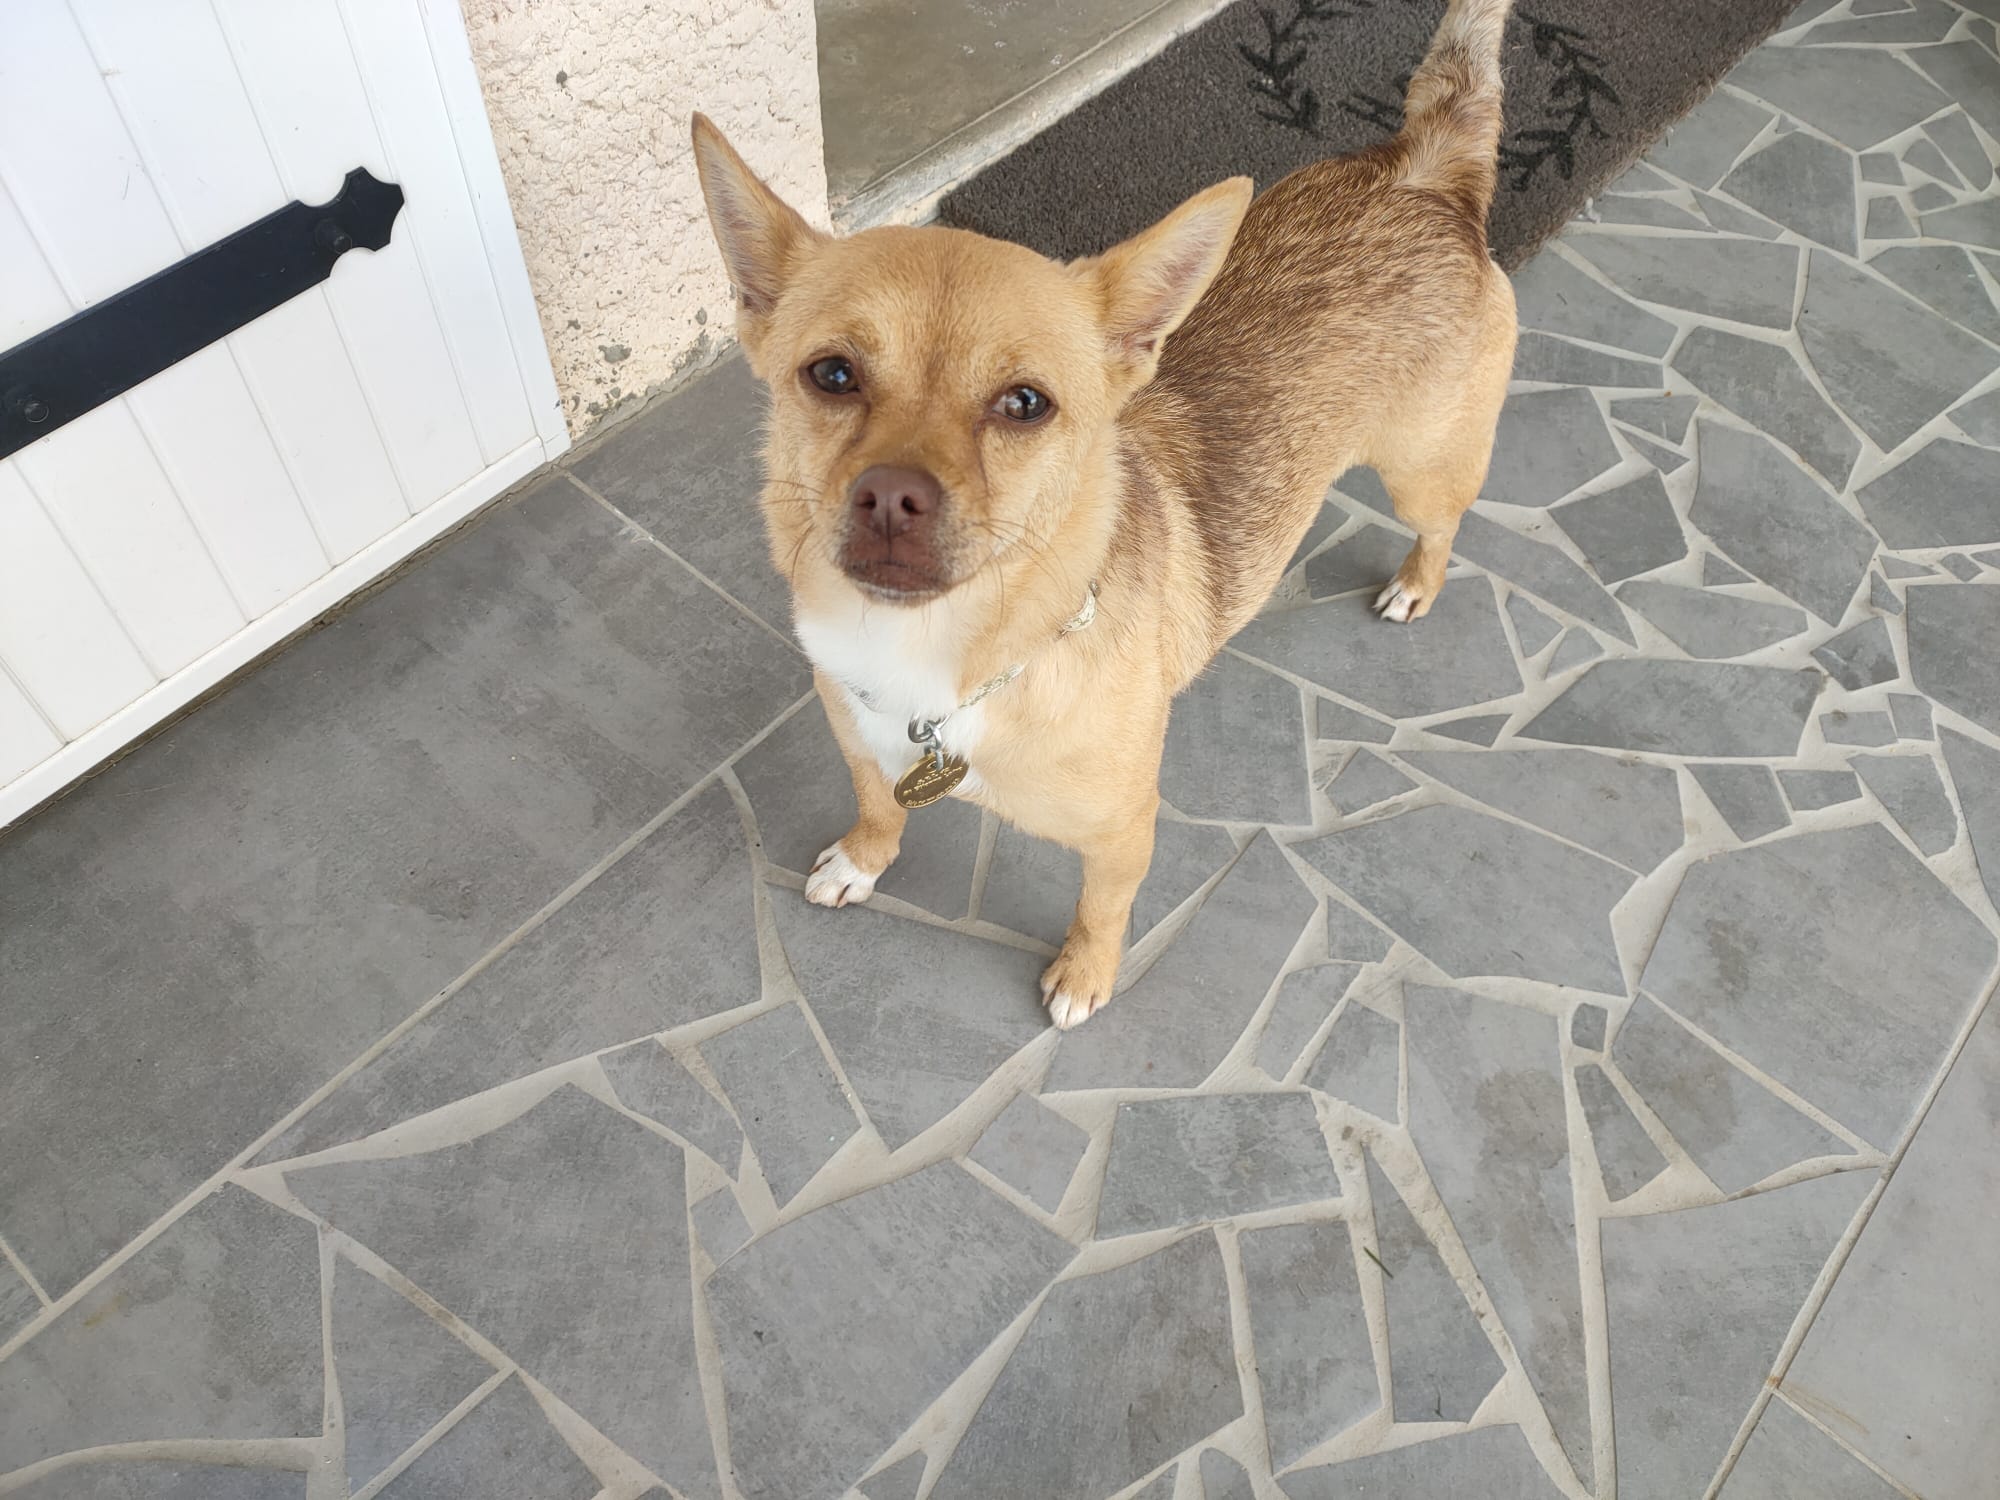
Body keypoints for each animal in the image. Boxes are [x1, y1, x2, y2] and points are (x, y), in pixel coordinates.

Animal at [691, 0, 1517, 1028]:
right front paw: (864, 859)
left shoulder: (1124, 832)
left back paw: (1415, 583)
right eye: (832, 375)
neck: (946, 660)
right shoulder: (861, 744)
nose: (890, 495)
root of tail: (1424, 172)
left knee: (1440, 524)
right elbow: (879, 804)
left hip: (1421, 471)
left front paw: (1084, 975)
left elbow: (1101, 908)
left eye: (1025, 404)